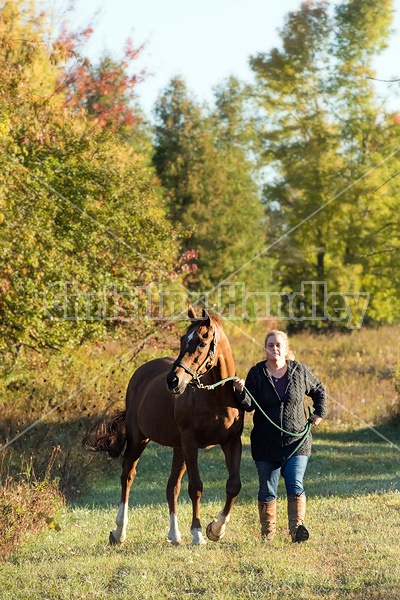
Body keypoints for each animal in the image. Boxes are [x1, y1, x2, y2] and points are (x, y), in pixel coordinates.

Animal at [84, 308, 244, 548]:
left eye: (202, 342)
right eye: (182, 339)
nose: (173, 380)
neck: (217, 398)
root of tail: (141, 372)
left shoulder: (231, 442)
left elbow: (233, 485)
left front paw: (216, 529)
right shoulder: (191, 443)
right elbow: (196, 487)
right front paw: (198, 534)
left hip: (178, 449)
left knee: (172, 487)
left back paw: (174, 535)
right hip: (139, 439)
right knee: (127, 476)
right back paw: (119, 532)